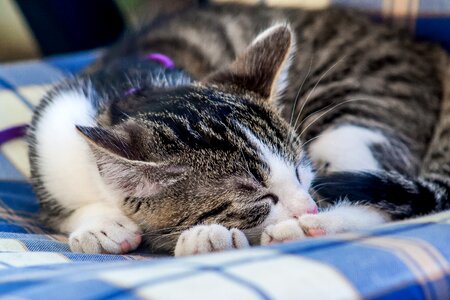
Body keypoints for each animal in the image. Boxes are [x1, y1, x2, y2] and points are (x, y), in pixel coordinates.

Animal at [28, 2, 450, 255]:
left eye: (301, 170)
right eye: (261, 198)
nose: (309, 205)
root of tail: (430, 51)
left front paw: (205, 235)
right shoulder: (50, 144)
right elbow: (60, 211)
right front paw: (100, 226)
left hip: (358, 108)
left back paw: (311, 227)